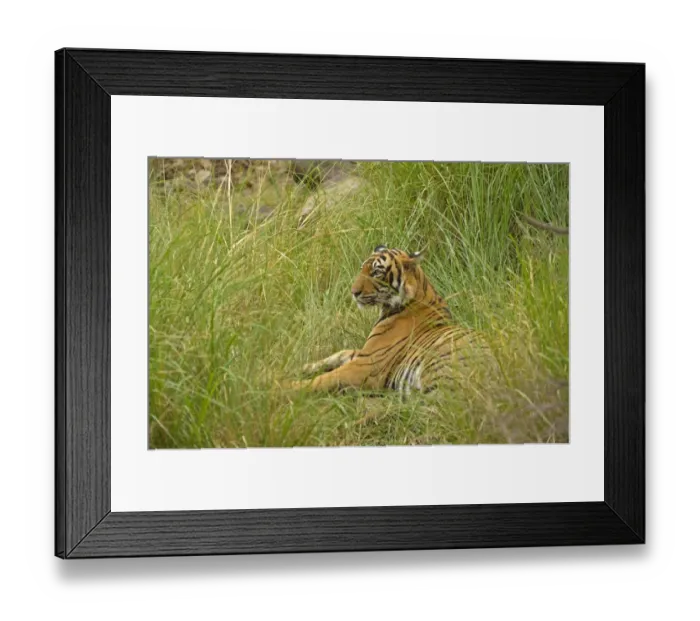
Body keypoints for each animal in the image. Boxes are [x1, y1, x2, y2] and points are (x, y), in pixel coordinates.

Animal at [286, 245, 496, 394]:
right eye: (362, 269)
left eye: (376, 272)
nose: (353, 292)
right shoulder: (363, 353)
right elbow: (337, 355)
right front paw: (300, 367)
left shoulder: (366, 365)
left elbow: (323, 379)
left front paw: (284, 386)